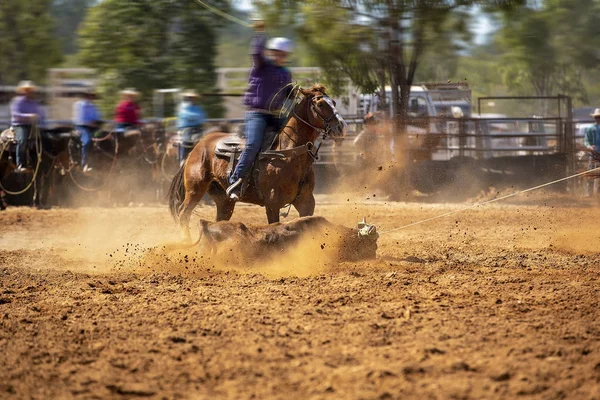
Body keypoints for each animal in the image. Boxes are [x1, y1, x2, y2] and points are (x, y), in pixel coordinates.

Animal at [169, 84, 346, 241]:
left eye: (334, 102)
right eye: (321, 104)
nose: (341, 127)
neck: (288, 154)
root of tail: (198, 145)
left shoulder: (306, 202)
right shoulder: (272, 204)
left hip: (224, 200)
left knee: (219, 220)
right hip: (195, 188)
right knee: (183, 213)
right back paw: (187, 241)